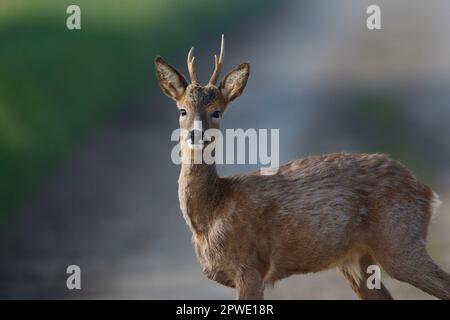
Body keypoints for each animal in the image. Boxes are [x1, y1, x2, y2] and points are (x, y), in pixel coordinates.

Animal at [153, 35, 448, 300]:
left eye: (217, 111)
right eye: (182, 110)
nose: (196, 134)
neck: (212, 213)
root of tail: (426, 191)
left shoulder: (252, 266)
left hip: (399, 239)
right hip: (357, 259)